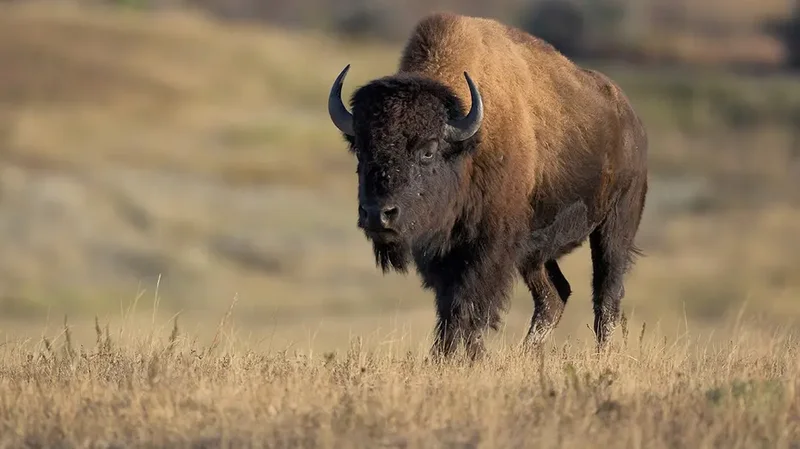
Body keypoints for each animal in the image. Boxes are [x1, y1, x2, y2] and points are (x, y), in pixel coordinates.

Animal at [328, 12, 648, 359]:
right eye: (361, 149)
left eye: (428, 151)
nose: (378, 214)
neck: (467, 146)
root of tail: (631, 120)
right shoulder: (441, 254)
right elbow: (449, 306)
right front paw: (446, 356)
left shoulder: (490, 246)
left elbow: (470, 304)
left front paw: (464, 356)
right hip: (535, 254)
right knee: (554, 295)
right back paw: (527, 354)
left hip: (615, 224)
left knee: (606, 293)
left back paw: (602, 354)